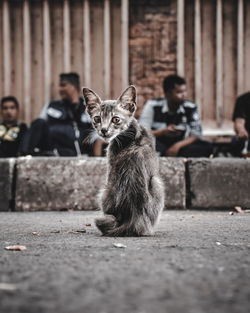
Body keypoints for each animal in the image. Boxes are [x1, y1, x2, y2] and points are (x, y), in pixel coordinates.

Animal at [82, 85, 164, 236]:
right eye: (97, 118)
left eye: (115, 119)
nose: (104, 130)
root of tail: (135, 218)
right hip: (156, 182)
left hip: (106, 190)